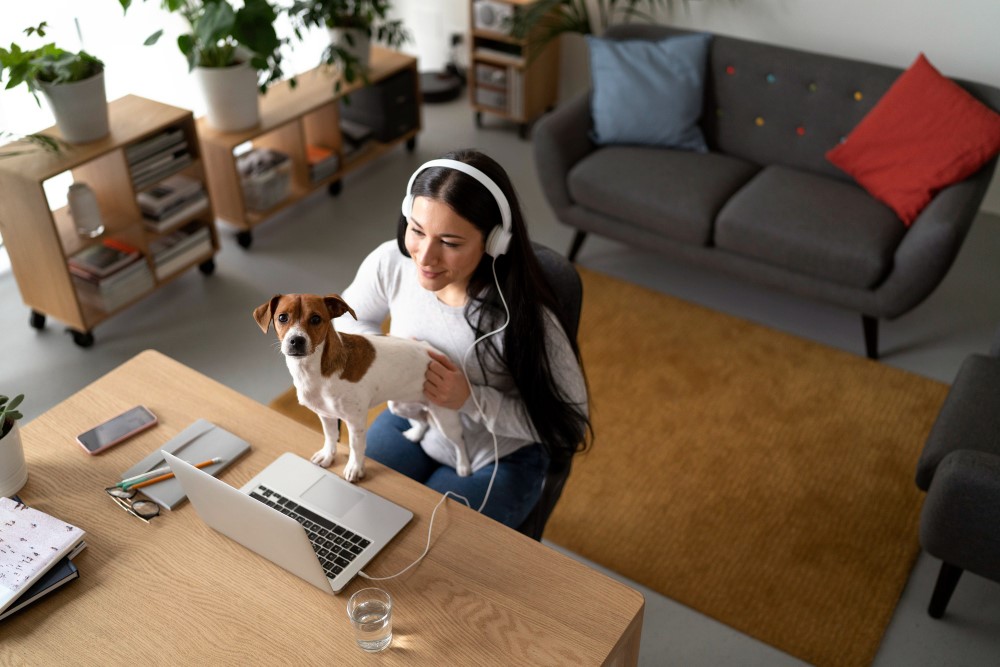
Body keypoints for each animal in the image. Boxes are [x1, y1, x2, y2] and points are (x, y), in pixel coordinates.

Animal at [250, 294, 468, 482]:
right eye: (282, 317)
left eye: (316, 319)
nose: (296, 340)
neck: (315, 371)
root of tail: (434, 351)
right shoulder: (326, 415)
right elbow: (330, 437)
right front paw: (328, 455)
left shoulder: (355, 421)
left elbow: (356, 447)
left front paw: (355, 468)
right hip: (401, 405)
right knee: (423, 421)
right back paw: (415, 434)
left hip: (445, 418)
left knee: (458, 442)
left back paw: (464, 466)